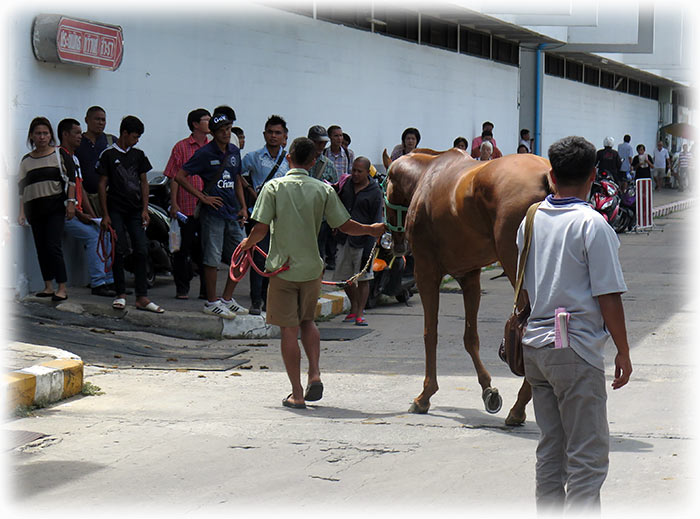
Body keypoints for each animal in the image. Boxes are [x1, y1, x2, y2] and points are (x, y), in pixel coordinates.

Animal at [382, 147, 552, 426]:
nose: (394, 244)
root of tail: (545, 174)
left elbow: (430, 333)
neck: (425, 177)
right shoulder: (469, 275)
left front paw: (425, 394)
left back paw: (519, 407)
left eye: (384, 190)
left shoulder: (426, 273)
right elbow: (470, 338)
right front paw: (488, 390)